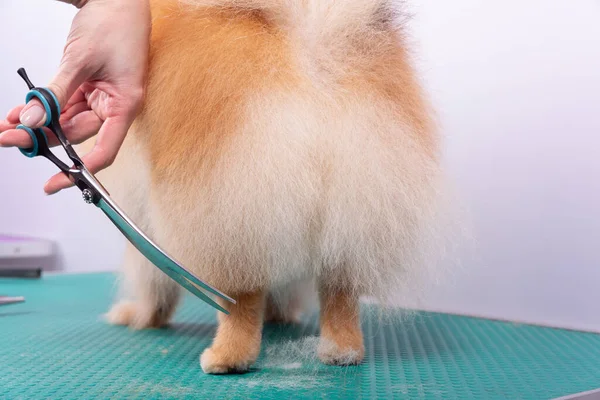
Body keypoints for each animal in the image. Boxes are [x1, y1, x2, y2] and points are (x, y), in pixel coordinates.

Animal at [90, 0, 454, 376]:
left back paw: (226, 358)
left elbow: (152, 279)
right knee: (340, 293)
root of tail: (316, 53)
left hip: (228, 217)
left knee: (240, 300)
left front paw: (140, 316)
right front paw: (279, 315)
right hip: (351, 216)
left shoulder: (143, 215)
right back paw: (342, 351)